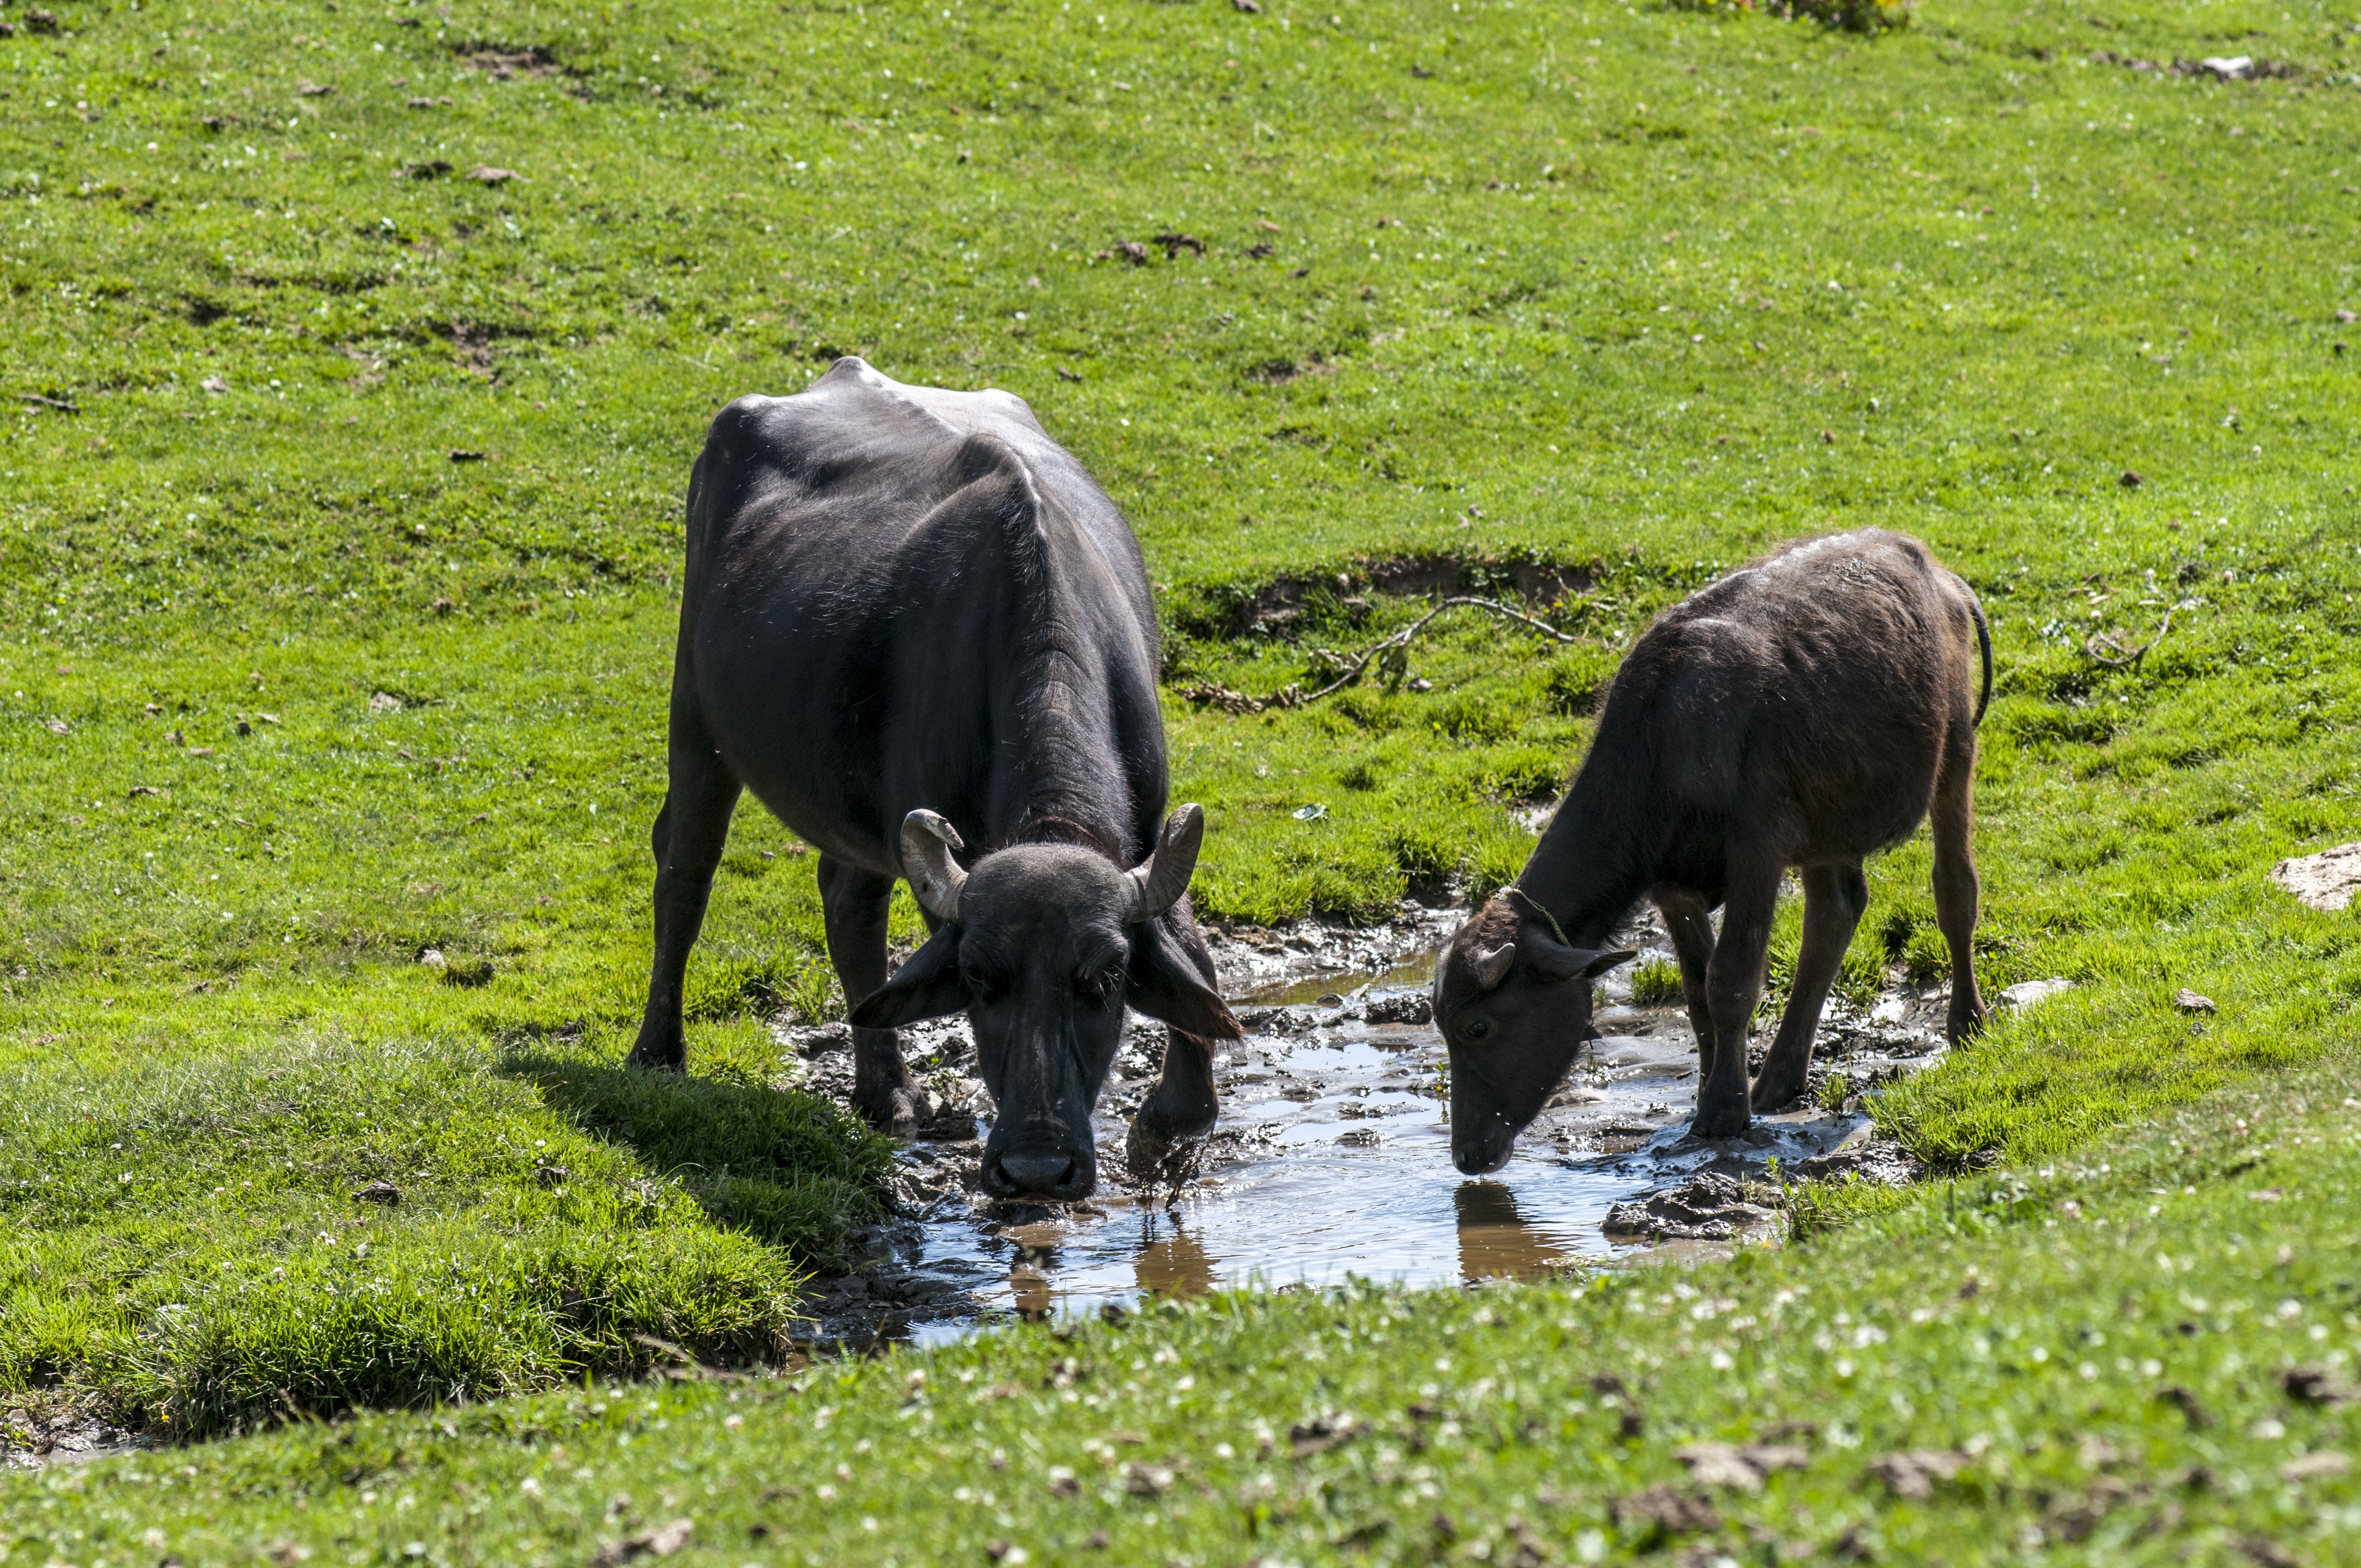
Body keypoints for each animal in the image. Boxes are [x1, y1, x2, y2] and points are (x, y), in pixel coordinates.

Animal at [637, 358, 1247, 1199]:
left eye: (1105, 976)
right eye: (980, 978)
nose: (1036, 1167)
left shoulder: (1148, 831)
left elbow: (1193, 952)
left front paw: (1168, 1129)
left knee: (848, 904)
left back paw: (887, 1093)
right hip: (697, 713)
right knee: (684, 868)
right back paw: (657, 1052)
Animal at [1416, 533, 1993, 1171]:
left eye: (1477, 1028)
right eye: (1444, 1029)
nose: (1468, 1155)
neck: (1666, 744)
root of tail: (1932, 569)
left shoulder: (1757, 855)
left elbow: (1731, 981)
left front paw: (1721, 1110)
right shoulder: (1671, 887)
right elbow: (1697, 995)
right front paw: (1711, 1091)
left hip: (1955, 754)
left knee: (1954, 890)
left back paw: (1966, 1023)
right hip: (1827, 829)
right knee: (1834, 915)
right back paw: (1778, 1080)